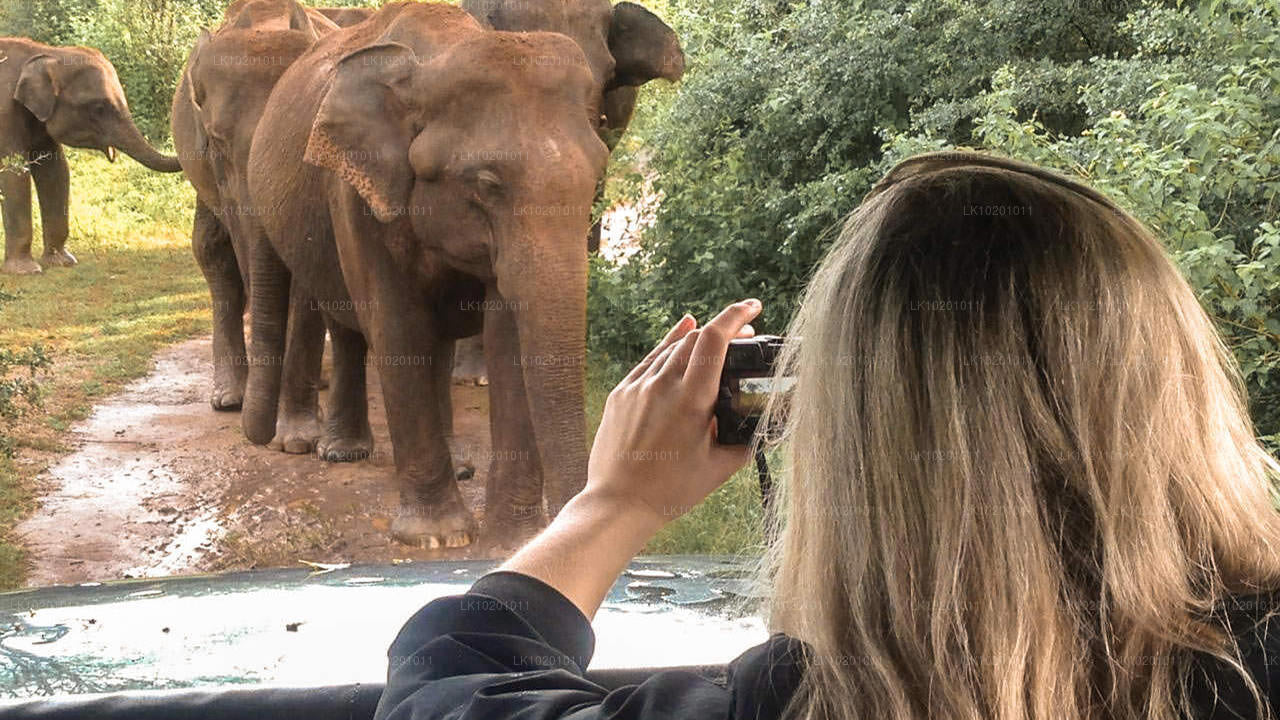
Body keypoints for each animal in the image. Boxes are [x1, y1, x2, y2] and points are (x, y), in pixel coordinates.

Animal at [0, 37, 185, 275]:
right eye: (99, 108)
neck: (47, 52)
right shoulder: (5, 115)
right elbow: (15, 174)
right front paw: (27, 270)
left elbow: (56, 171)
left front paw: (63, 262)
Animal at [247, 1, 611, 543]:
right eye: (486, 183)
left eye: (597, 176)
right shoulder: (356, 190)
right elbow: (397, 326)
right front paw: (437, 536)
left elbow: (506, 337)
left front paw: (512, 540)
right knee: (348, 326)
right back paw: (343, 453)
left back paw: (459, 465)